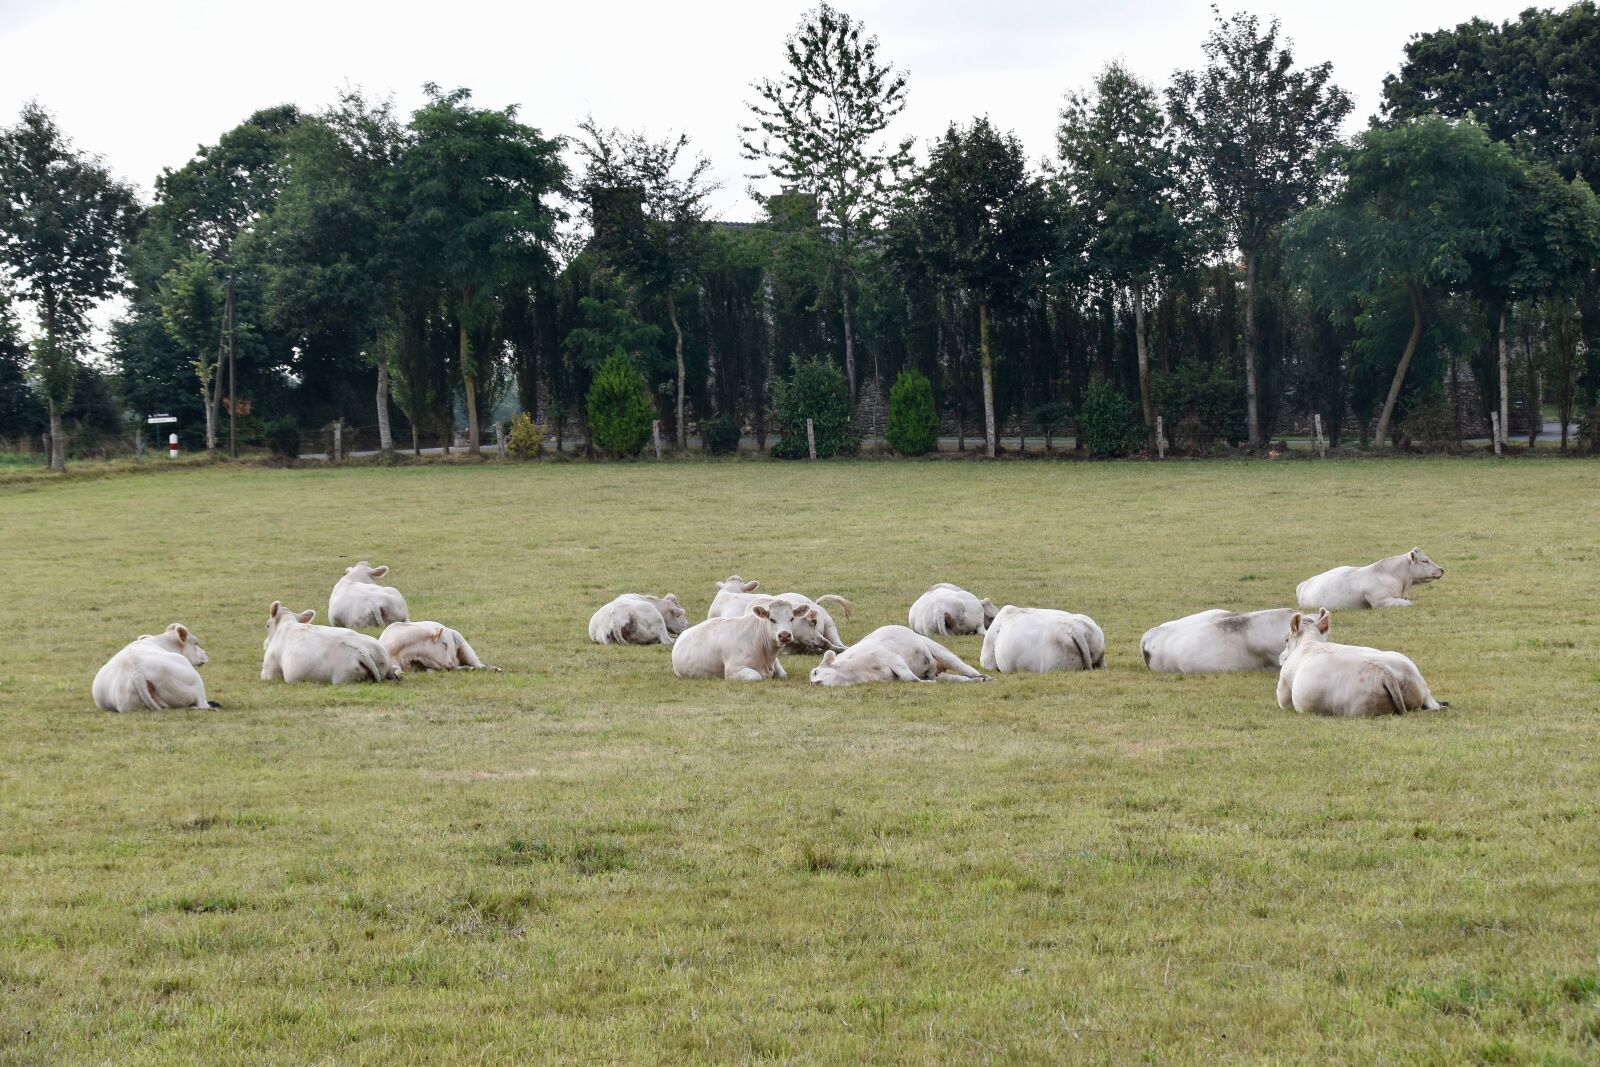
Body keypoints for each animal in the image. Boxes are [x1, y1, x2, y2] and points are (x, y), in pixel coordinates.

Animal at [262, 601, 401, 684]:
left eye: (267, 625)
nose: (265, 644)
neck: (287, 624)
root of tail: (361, 651)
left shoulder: (268, 672)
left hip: (343, 678)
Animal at [671, 601, 812, 680]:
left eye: (792, 618)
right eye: (772, 619)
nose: (784, 635)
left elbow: (783, 674)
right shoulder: (732, 670)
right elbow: (756, 676)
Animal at [809, 625, 991, 687]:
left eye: (815, 672)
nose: (813, 683)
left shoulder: (891, 658)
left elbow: (910, 678)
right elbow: (909, 679)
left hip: (939, 650)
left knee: (965, 668)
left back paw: (983, 677)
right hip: (938, 672)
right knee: (958, 678)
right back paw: (976, 680)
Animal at [1276, 609, 1444, 716]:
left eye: (1286, 639)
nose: (1281, 657)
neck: (1310, 642)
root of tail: (1384, 671)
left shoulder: (1284, 693)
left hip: (1360, 709)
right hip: (1422, 688)